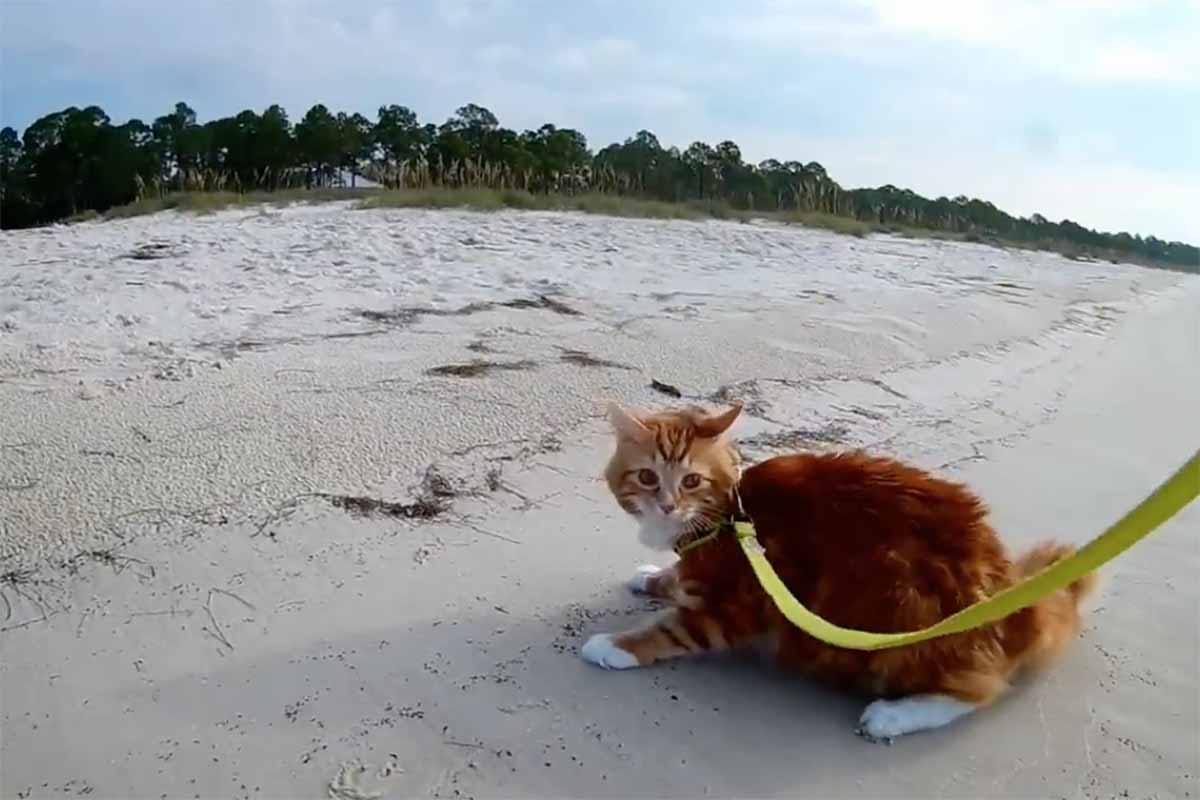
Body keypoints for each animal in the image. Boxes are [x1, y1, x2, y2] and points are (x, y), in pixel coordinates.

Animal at [585, 402, 1099, 743]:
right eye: (648, 477)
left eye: (691, 481)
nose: (668, 505)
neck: (728, 515)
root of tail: (1012, 593)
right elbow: (673, 578)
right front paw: (652, 575)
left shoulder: (736, 607)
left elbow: (670, 630)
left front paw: (614, 645)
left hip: (903, 614)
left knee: (979, 691)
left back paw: (893, 716)